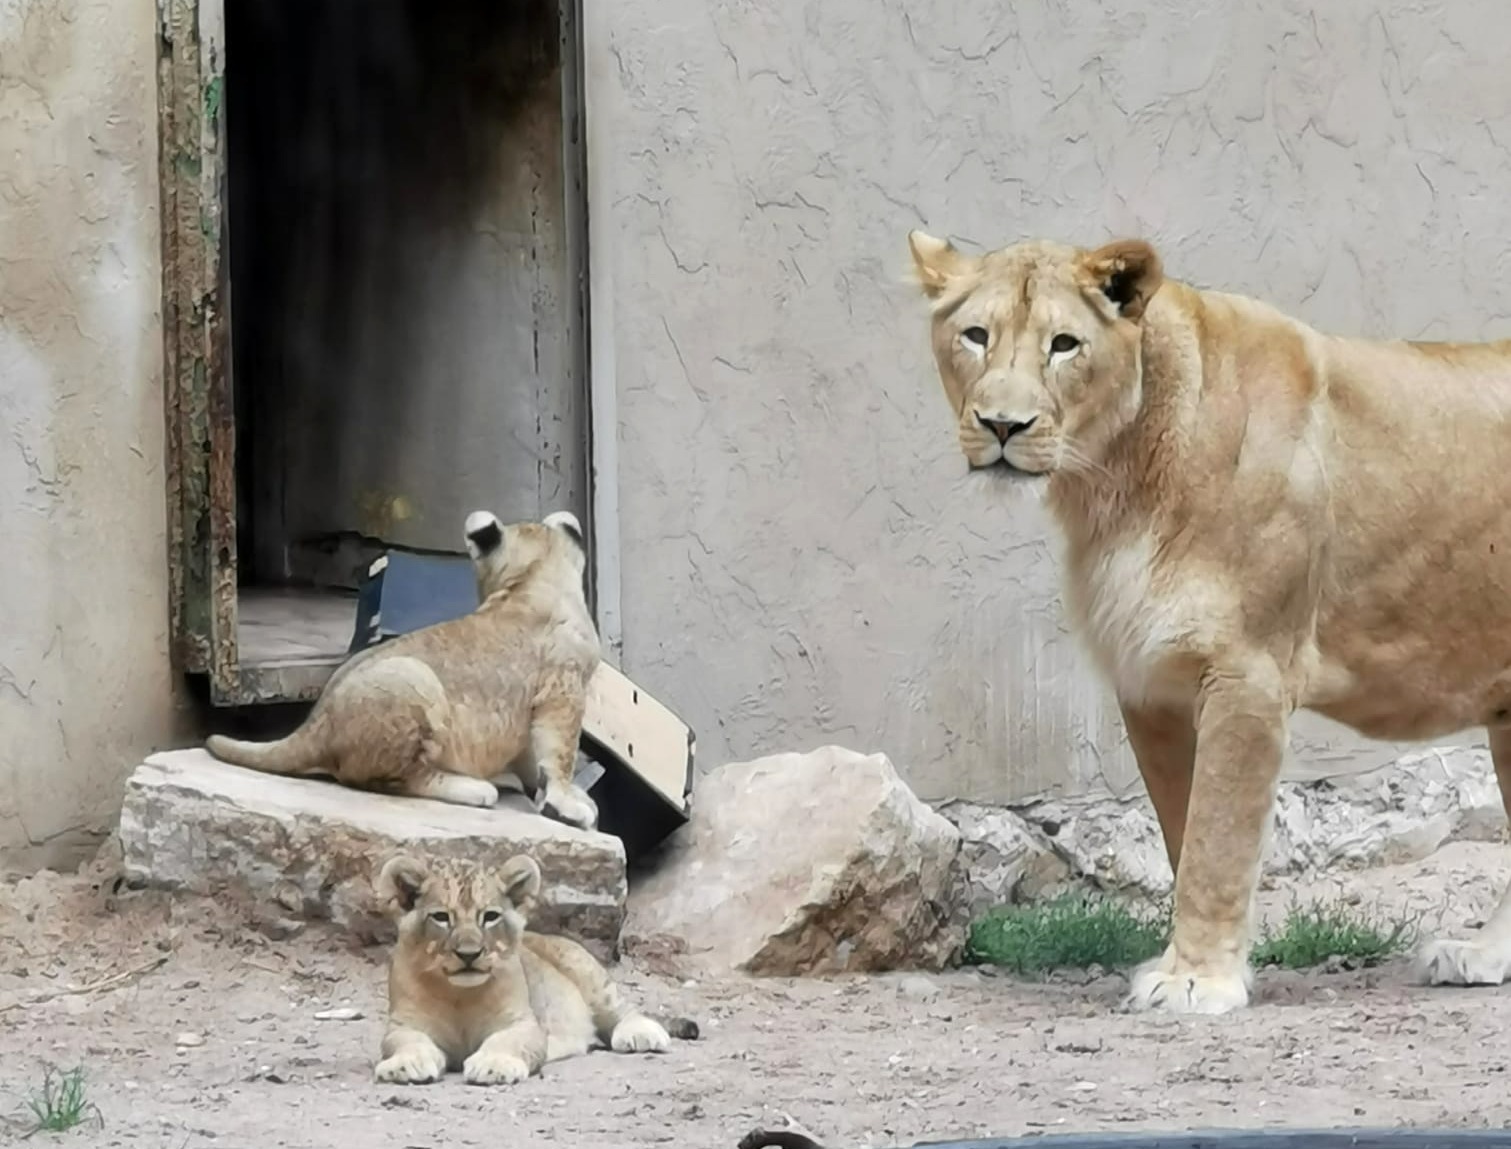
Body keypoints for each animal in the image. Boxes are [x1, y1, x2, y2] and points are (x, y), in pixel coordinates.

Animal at [906, 226, 1511, 1015]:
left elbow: (1217, 835)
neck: (1113, 479)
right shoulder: (1150, 683)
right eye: (975, 336)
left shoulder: (1248, 671)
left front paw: (1195, 980)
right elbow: (1182, 830)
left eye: (1064, 345)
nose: (1002, 425)